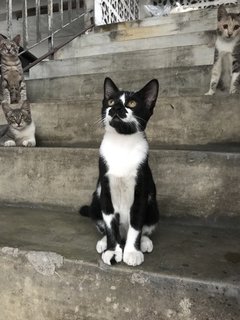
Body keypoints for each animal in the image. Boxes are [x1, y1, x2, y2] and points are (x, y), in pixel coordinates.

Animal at [80, 78, 159, 268]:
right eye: (110, 101)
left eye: (132, 103)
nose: (116, 107)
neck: (122, 143)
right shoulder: (105, 190)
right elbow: (110, 224)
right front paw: (113, 251)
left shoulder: (141, 192)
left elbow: (137, 225)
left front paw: (132, 252)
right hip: (95, 201)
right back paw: (103, 242)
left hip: (153, 206)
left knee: (145, 227)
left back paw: (144, 242)